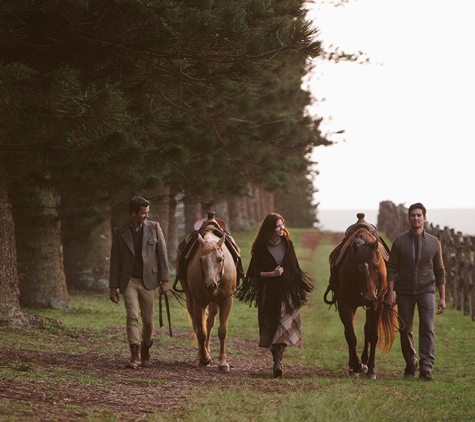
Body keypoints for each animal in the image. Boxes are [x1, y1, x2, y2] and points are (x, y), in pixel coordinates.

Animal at [185, 227, 238, 370]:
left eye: (220, 259)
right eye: (201, 260)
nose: (210, 285)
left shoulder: (226, 301)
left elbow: (222, 331)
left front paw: (223, 362)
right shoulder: (198, 303)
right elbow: (201, 332)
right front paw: (204, 358)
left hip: (214, 304)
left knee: (210, 322)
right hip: (190, 300)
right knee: (197, 325)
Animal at [328, 216, 398, 378]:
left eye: (377, 267)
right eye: (357, 269)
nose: (369, 298)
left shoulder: (377, 304)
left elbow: (373, 334)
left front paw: (370, 369)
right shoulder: (345, 304)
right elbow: (350, 335)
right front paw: (355, 365)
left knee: (367, 330)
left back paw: (365, 363)